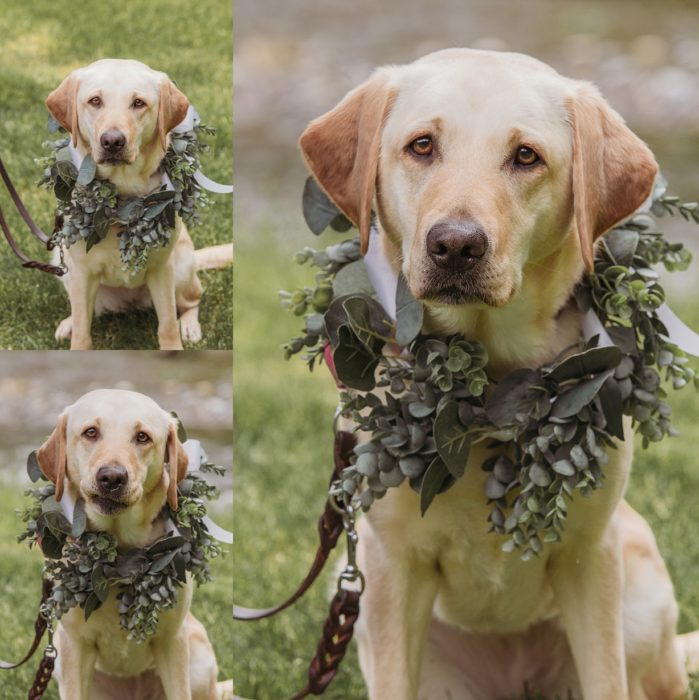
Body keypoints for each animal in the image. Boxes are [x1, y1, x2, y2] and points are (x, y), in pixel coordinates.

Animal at [36, 388, 232, 700]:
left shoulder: (172, 641)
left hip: (199, 661)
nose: (111, 477)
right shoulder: (73, 647)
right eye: (91, 432)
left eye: (142, 437)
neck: (118, 559)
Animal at [45, 59, 234, 350]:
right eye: (95, 101)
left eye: (138, 103)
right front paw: (75, 336)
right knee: (83, 314)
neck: (120, 200)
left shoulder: (161, 270)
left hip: (181, 268)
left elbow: (167, 326)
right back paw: (68, 323)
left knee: (192, 300)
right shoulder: (81, 273)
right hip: (62, 263)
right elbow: (82, 332)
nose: (112, 141)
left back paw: (190, 326)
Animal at [300, 49, 699, 700]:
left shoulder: (590, 559)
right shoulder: (390, 571)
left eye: (526, 156)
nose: (456, 246)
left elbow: (606, 678)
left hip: (639, 603)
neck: (485, 393)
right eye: (421, 145)